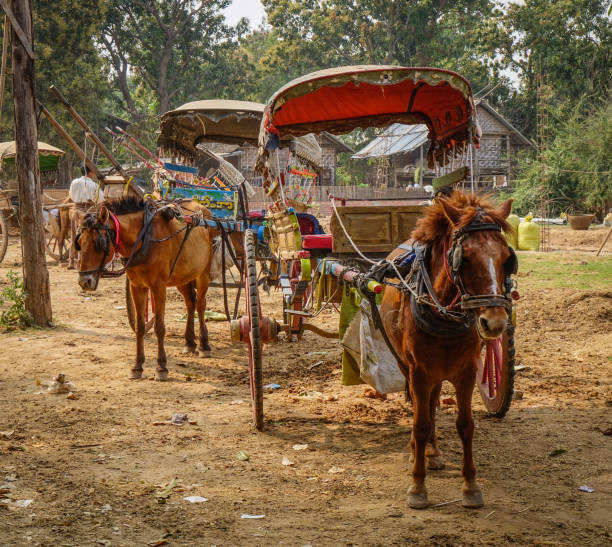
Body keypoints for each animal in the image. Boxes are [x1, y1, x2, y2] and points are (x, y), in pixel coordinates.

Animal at [77, 197, 215, 382]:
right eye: (79, 243)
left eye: (99, 243)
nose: (84, 282)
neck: (144, 238)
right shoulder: (137, 287)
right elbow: (140, 326)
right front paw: (137, 365)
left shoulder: (158, 287)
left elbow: (159, 327)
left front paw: (161, 367)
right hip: (183, 276)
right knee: (190, 303)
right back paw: (189, 342)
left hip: (203, 272)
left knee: (200, 305)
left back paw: (203, 345)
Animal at [382, 193, 516, 510]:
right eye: (463, 257)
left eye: (507, 259)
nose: (494, 323)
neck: (442, 313)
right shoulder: (418, 371)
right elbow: (419, 423)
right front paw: (418, 486)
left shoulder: (466, 372)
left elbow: (465, 425)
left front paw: (470, 486)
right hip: (408, 367)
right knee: (422, 410)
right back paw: (417, 452)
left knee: (431, 404)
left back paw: (433, 452)